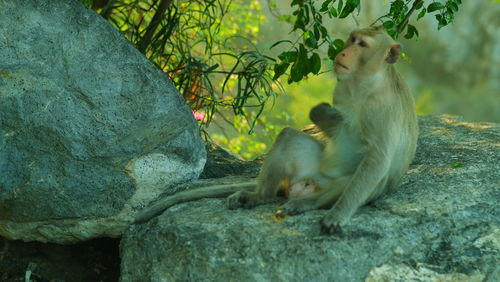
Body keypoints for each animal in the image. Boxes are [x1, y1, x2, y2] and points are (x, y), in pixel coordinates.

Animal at [227, 25, 418, 234]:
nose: (344, 52)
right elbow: (336, 125)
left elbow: (378, 159)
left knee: (355, 179)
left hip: (361, 188)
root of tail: (311, 182)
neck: (364, 83)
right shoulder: (341, 88)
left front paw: (337, 216)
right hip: (313, 167)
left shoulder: (382, 110)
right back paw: (260, 196)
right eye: (353, 39)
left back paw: (306, 203)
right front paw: (323, 112)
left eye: (362, 45)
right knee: (288, 137)